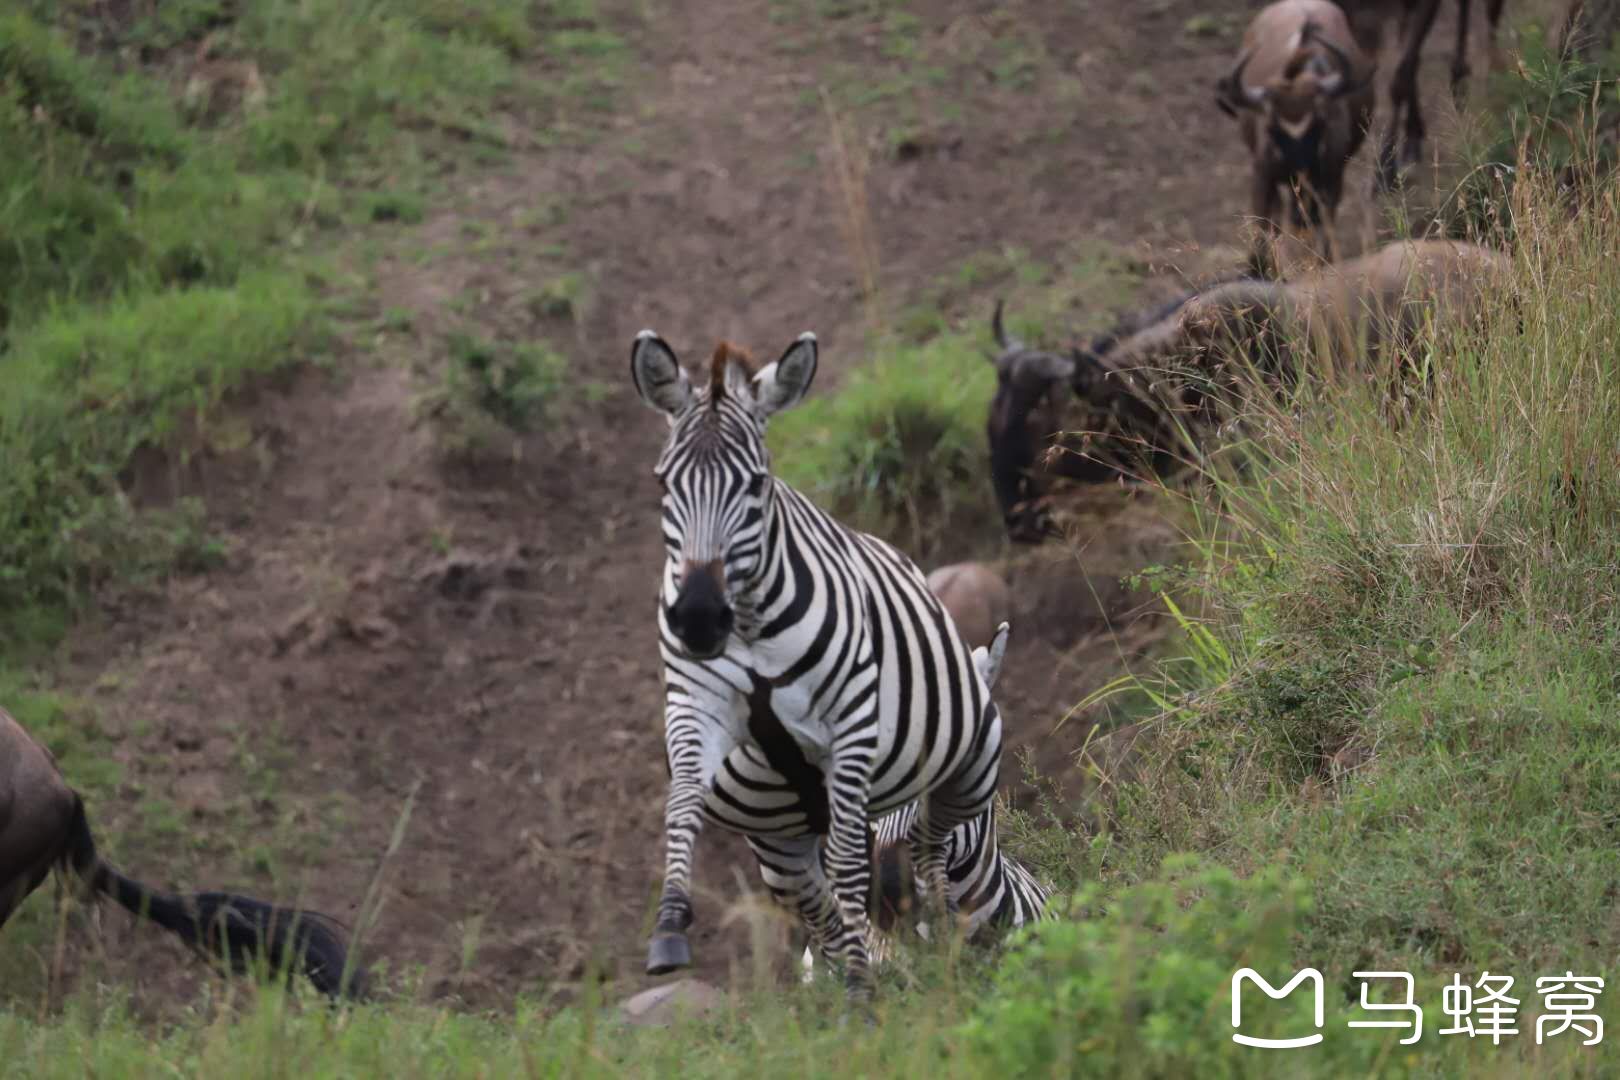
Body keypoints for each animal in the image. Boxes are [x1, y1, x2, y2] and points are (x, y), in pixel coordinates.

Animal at [628, 330, 1010, 1003]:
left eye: (756, 484)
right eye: (663, 482)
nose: (697, 617)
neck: (749, 627)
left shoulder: (851, 729)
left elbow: (858, 866)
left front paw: (867, 972)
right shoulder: (696, 707)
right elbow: (681, 805)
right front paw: (669, 926)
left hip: (965, 769)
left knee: (929, 846)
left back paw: (930, 936)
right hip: (780, 843)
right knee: (821, 902)